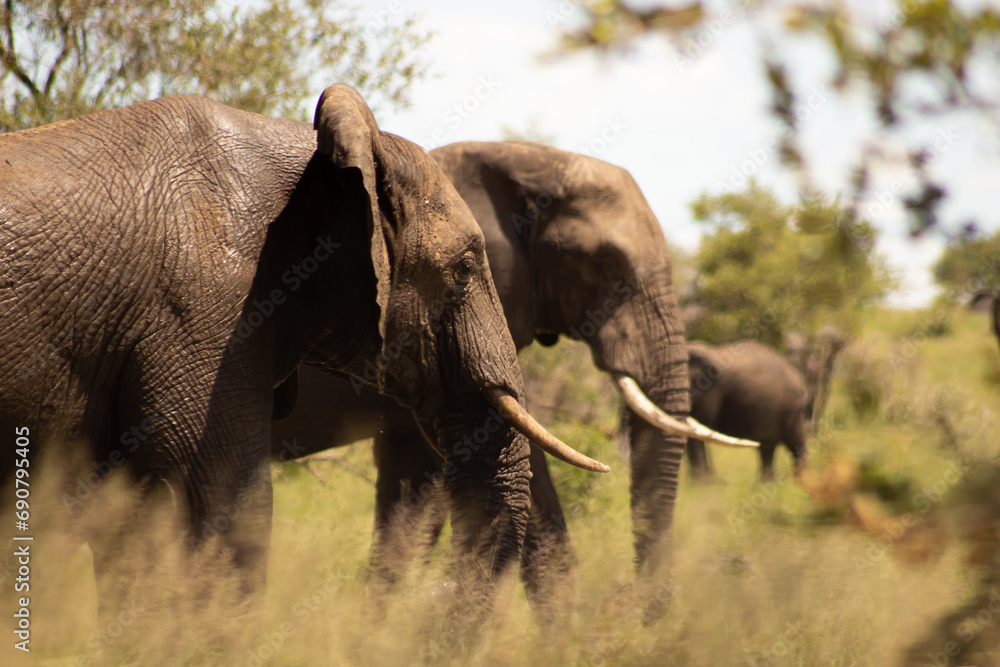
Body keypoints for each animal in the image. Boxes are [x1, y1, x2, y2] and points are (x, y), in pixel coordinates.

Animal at [685, 340, 810, 478]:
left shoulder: (710, 389)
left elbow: (698, 427)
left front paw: (703, 481)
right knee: (768, 446)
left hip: (789, 407)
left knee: (790, 443)